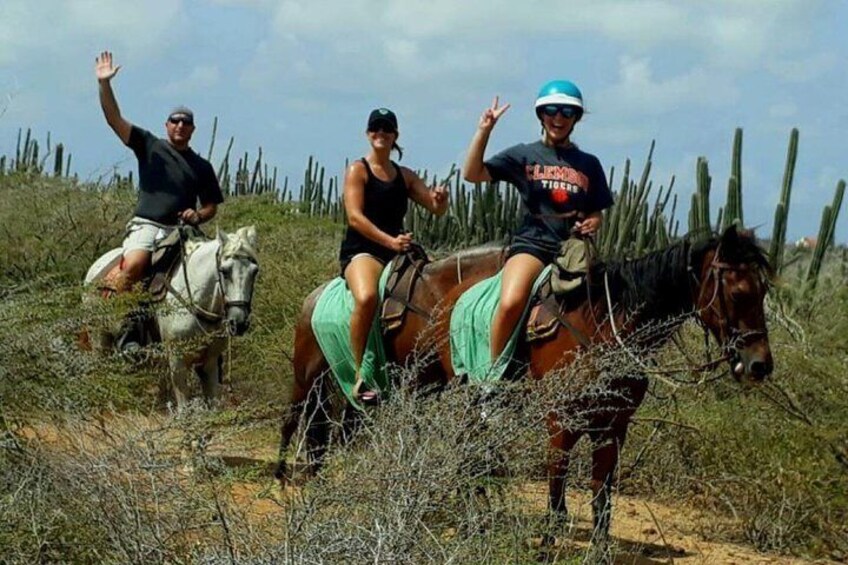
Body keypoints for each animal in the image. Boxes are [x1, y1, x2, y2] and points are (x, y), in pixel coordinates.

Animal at [85, 227, 260, 408]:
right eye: (224, 271)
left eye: (255, 271)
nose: (238, 322)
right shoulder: (177, 362)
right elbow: (184, 407)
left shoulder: (209, 363)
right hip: (99, 340)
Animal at [274, 224, 772, 536]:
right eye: (737, 291)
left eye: (764, 290)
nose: (760, 364)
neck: (605, 326)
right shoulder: (560, 423)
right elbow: (556, 493)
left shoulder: (613, 428)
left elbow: (602, 501)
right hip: (312, 376)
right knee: (295, 420)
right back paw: (283, 478)